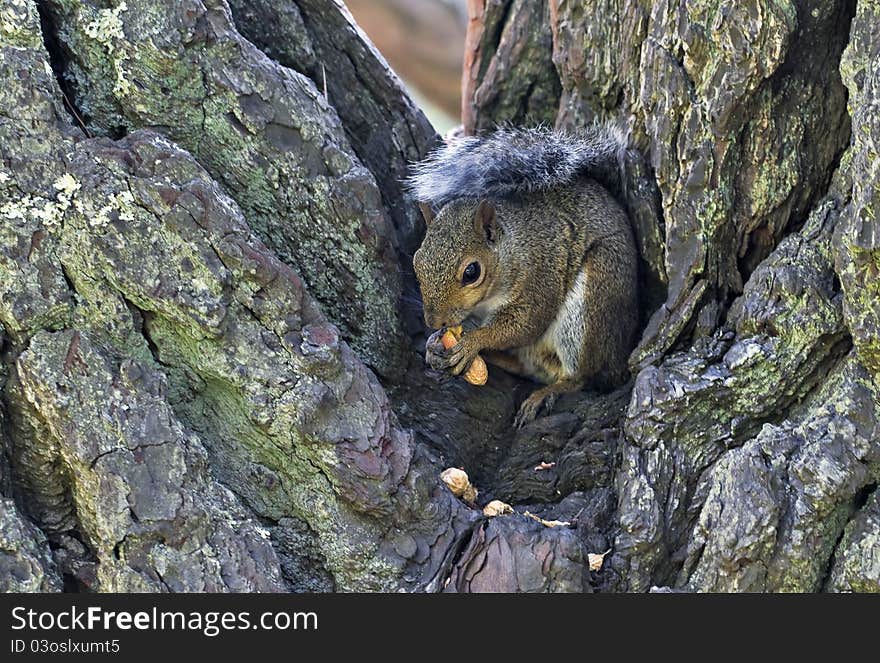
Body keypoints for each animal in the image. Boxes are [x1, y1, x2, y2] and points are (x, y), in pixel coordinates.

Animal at [406, 124, 640, 426]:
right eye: (417, 261)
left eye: (472, 272)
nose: (435, 321)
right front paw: (434, 344)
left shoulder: (540, 275)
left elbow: (524, 324)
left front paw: (473, 342)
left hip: (592, 304)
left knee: (580, 376)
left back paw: (546, 393)